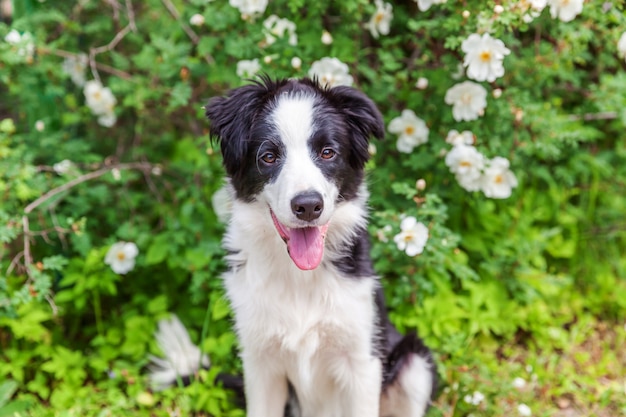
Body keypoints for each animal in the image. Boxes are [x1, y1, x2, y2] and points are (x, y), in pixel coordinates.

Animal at [205, 77, 434, 416]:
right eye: (268, 156)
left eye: (328, 152)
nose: (308, 206)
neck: (299, 277)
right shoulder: (260, 363)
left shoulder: (363, 360)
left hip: (415, 362)